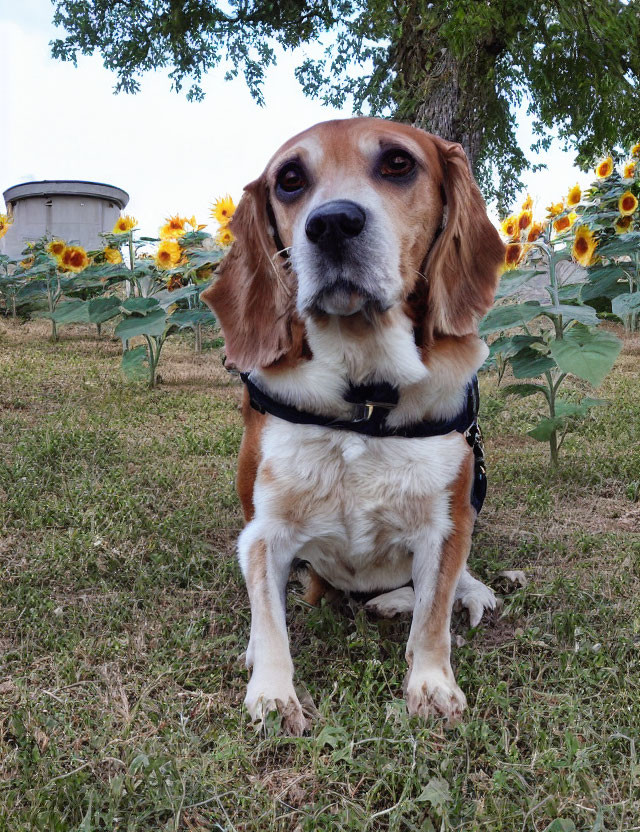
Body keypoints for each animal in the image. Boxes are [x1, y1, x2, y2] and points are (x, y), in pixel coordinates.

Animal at [200, 117, 504, 736]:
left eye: (398, 163)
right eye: (290, 179)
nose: (333, 223)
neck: (365, 397)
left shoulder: (447, 527)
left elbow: (433, 617)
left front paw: (431, 683)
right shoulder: (263, 532)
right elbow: (269, 619)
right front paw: (272, 693)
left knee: (447, 590)